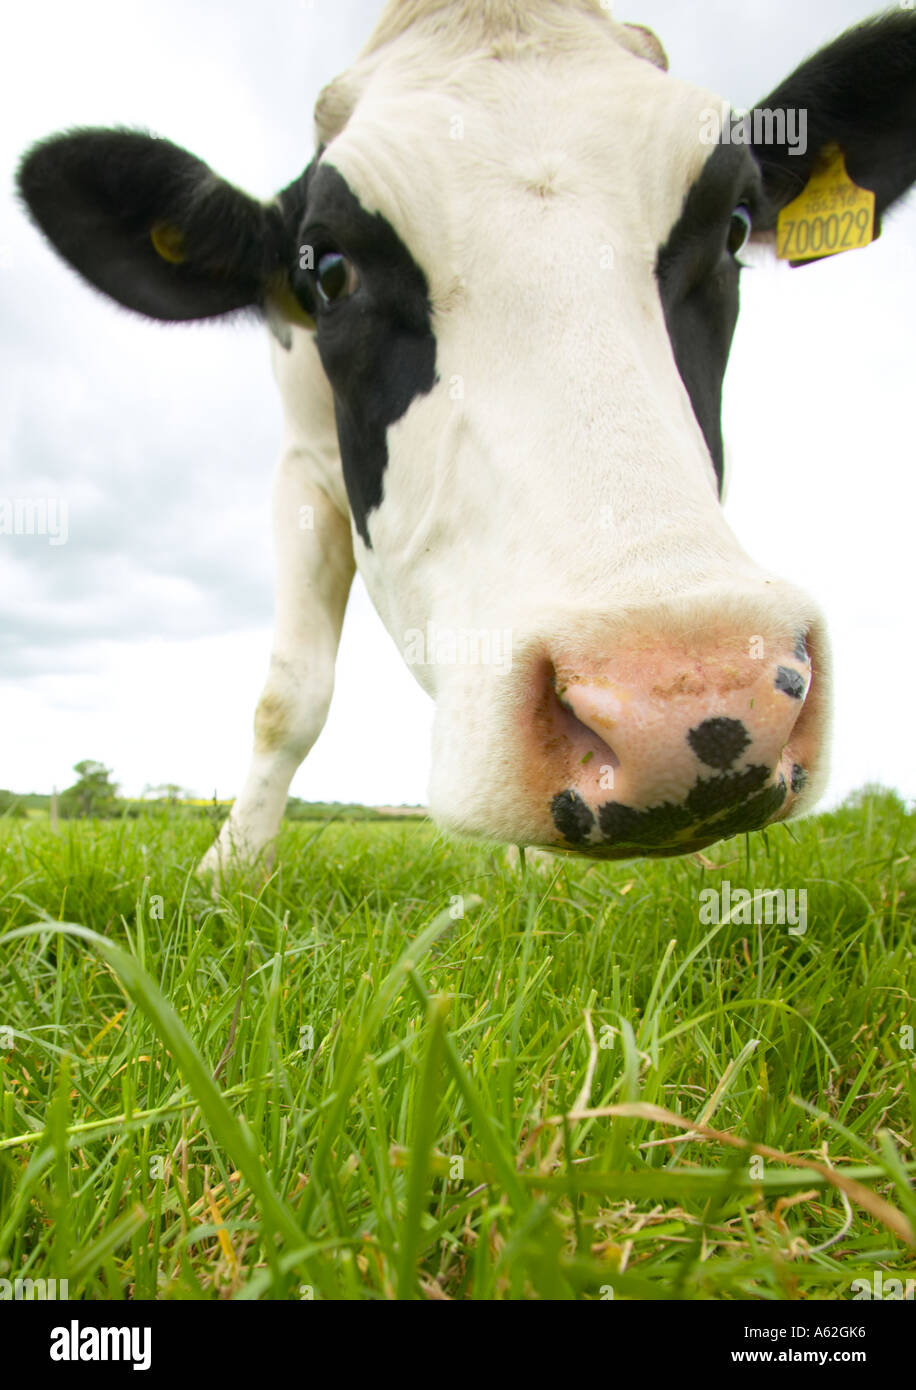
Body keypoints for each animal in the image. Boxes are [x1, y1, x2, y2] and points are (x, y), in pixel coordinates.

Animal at [17, 2, 916, 867]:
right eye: (329, 269)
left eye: (734, 228)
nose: (684, 700)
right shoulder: (302, 460)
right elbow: (289, 694)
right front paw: (231, 868)